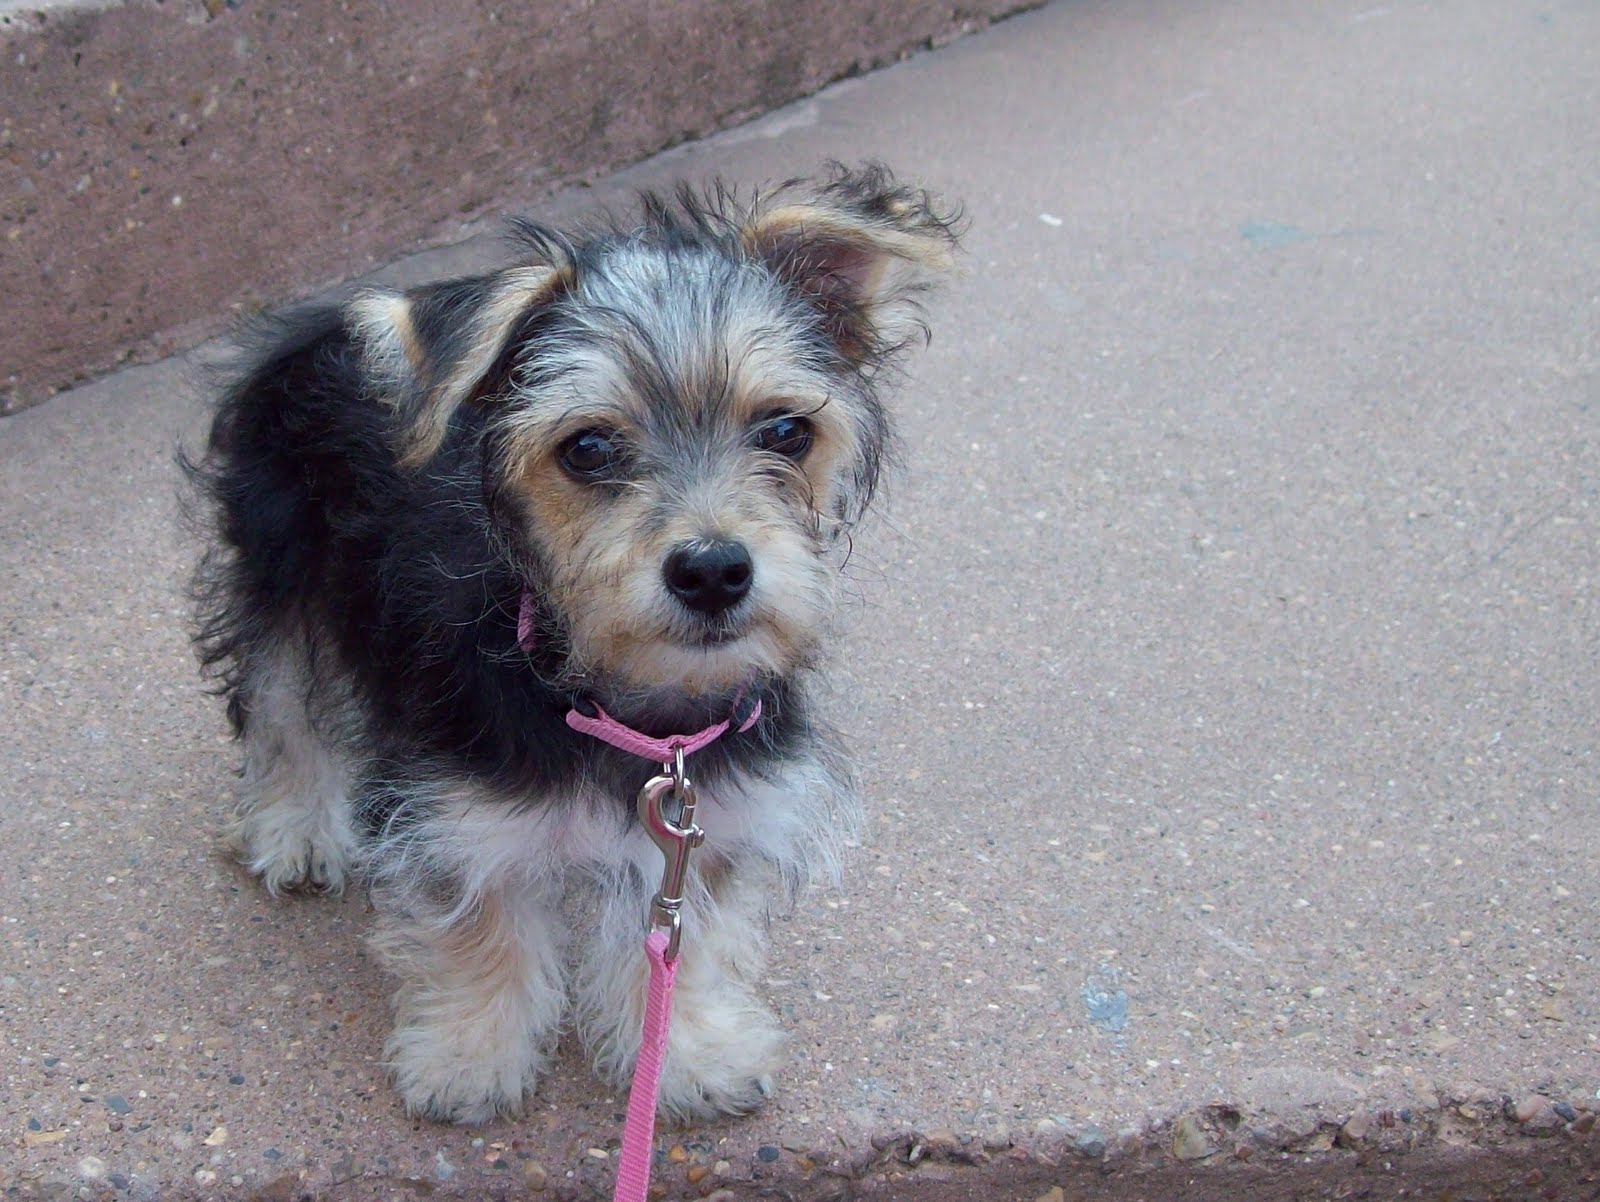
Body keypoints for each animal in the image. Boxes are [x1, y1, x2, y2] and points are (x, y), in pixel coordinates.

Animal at [187, 164, 960, 1126]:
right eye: (587, 447)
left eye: (787, 431)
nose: (713, 569)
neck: (620, 704)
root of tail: (309, 322)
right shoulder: (461, 817)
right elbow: (480, 927)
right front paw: (470, 1059)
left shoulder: (709, 822)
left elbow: (688, 941)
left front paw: (688, 1050)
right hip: (278, 558)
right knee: (281, 700)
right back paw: (295, 826)